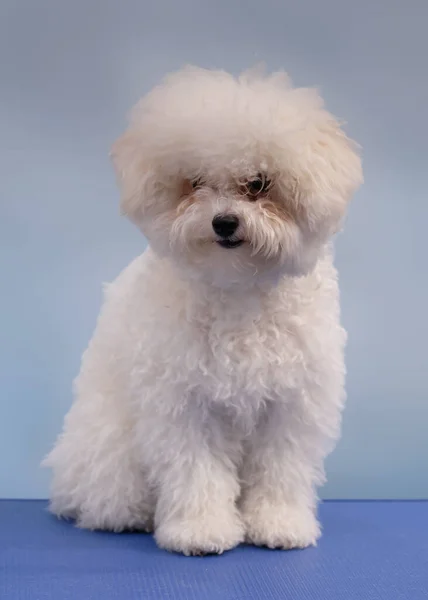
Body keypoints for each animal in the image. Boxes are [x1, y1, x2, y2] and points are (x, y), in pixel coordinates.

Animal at [45, 64, 362, 552]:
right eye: (194, 183)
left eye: (257, 183)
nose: (224, 222)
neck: (237, 287)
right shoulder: (186, 406)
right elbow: (197, 471)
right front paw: (201, 529)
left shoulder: (290, 406)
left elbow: (280, 470)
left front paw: (280, 523)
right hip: (110, 448)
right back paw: (129, 516)